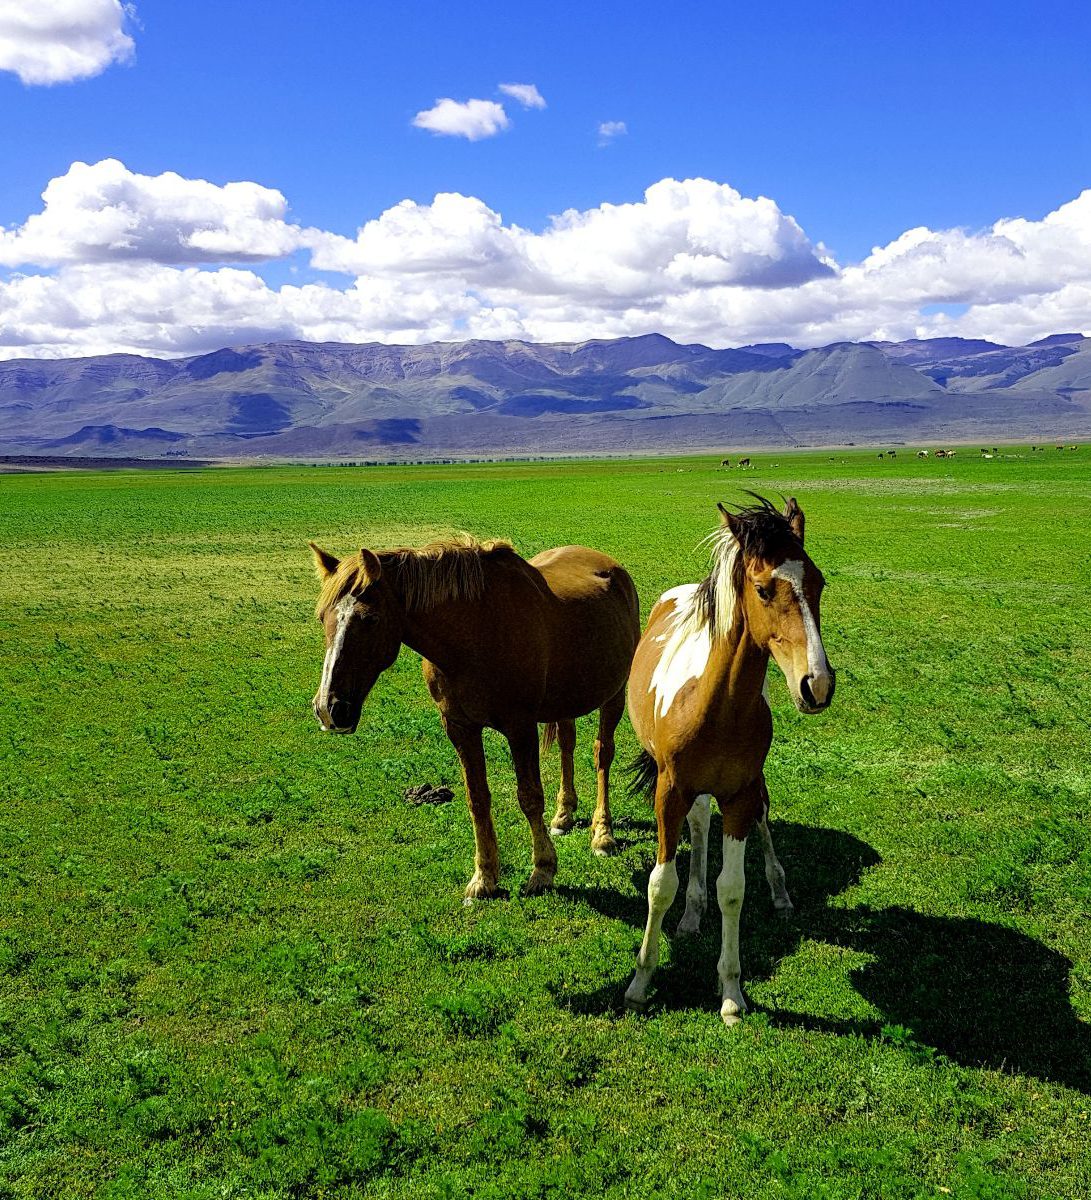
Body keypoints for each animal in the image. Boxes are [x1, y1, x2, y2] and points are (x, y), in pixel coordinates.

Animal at [309, 536, 640, 899]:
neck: (474, 634)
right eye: (322, 617)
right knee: (567, 744)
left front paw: (542, 870)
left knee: (602, 755)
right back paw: (563, 815)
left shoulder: (520, 727)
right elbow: (477, 799)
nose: (329, 708)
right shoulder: (459, 727)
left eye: (370, 620)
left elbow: (529, 797)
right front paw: (484, 878)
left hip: (614, 694)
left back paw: (603, 834)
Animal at [623, 496, 835, 1024]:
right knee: (699, 825)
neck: (715, 704)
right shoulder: (670, 792)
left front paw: (732, 993)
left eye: (818, 583)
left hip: (749, 787)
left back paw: (778, 892)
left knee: (761, 817)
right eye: (763, 589)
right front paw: (640, 982)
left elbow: (733, 889)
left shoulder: (739, 795)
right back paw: (691, 911)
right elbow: (661, 884)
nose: (817, 684)